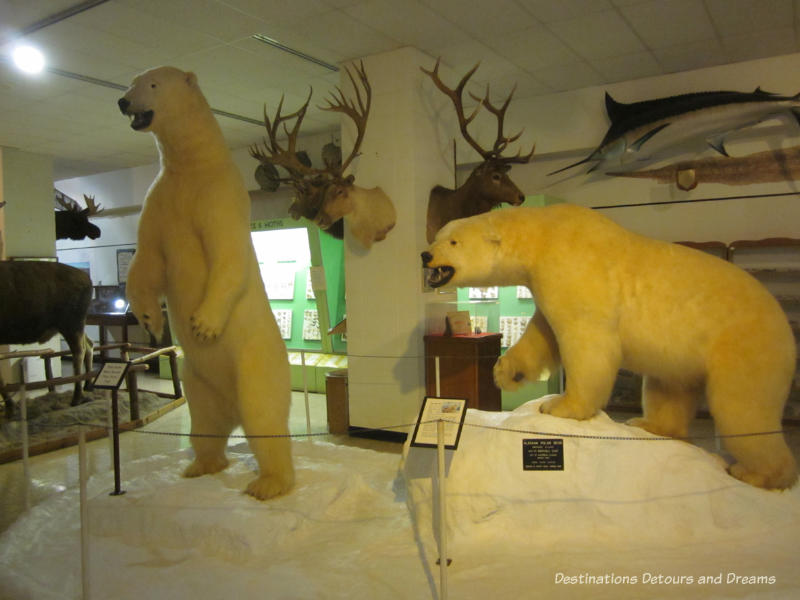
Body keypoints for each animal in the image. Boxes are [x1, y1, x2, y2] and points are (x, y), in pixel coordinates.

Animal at [119, 65, 294, 500]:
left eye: (152, 84)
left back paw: (268, 484)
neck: (192, 166)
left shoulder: (219, 197)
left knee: (263, 412)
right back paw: (201, 465)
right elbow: (146, 259)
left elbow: (228, 256)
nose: (123, 101)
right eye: (132, 80)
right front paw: (150, 319)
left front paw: (203, 324)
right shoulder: (160, 202)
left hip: (256, 360)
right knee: (205, 421)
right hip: (196, 380)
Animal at [422, 204, 796, 490]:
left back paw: (758, 473)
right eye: (437, 236)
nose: (425, 254)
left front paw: (561, 406)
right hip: (681, 358)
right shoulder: (547, 282)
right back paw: (649, 425)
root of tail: (786, 329)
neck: (542, 234)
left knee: (742, 408)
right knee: (668, 389)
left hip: (744, 346)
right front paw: (506, 372)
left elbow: (585, 340)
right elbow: (542, 334)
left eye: (453, 241)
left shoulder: (574, 270)